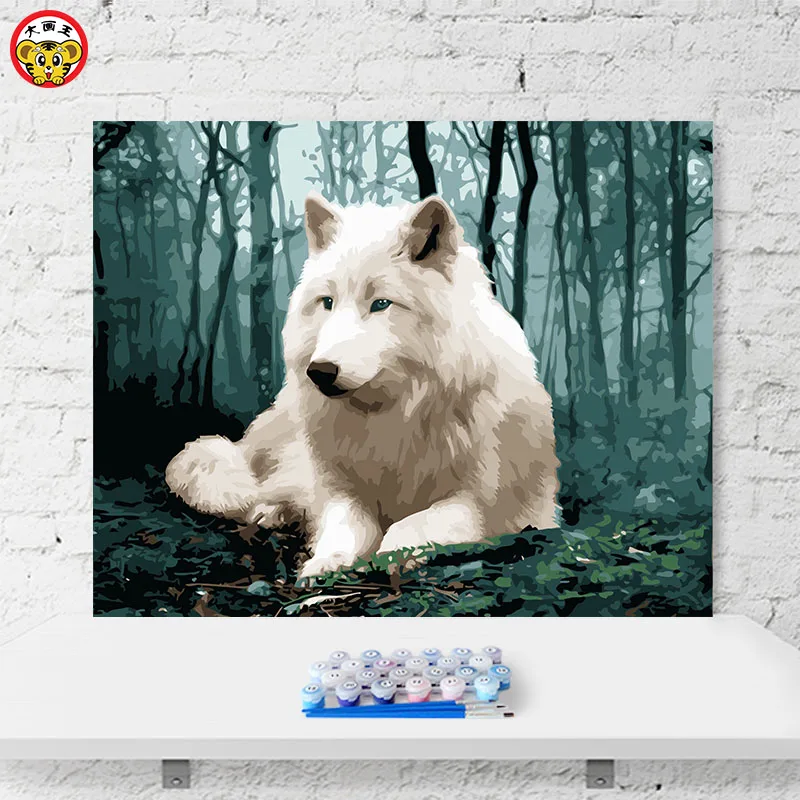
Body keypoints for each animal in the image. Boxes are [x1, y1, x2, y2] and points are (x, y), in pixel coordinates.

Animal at [166, 193, 559, 579]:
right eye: (327, 302)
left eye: (381, 304)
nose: (320, 371)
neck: (392, 416)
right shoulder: (339, 489)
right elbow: (347, 522)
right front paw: (327, 560)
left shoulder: (483, 503)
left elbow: (416, 521)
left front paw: (395, 551)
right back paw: (271, 512)